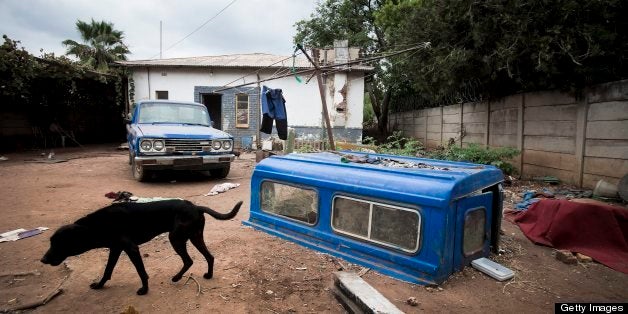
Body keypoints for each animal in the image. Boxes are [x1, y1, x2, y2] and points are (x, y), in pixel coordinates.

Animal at [41, 199, 243, 294]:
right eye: (51, 242)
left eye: (58, 243)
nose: (42, 259)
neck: (96, 226)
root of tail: (196, 206)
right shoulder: (115, 249)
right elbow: (107, 271)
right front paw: (99, 285)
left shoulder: (131, 248)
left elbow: (141, 272)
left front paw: (144, 290)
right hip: (194, 237)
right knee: (209, 256)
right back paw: (208, 275)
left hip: (176, 238)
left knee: (189, 260)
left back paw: (177, 278)